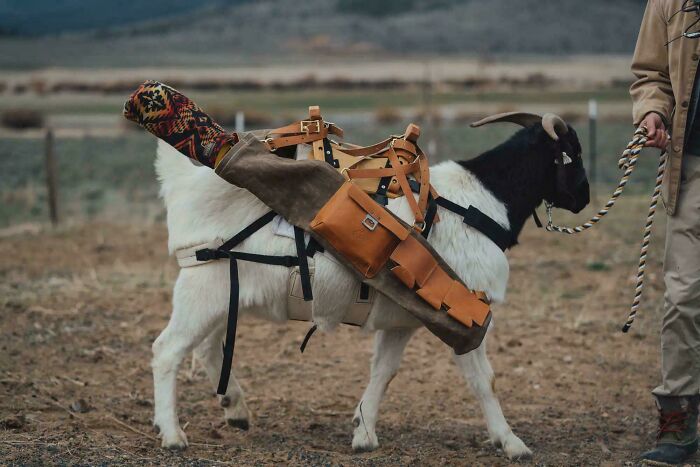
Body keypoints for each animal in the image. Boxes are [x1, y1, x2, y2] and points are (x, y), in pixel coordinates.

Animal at [150, 114, 589, 459]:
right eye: (574, 153)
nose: (584, 199)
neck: (480, 204)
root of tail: (184, 183)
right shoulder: (465, 320)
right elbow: (485, 381)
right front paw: (512, 443)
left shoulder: (402, 320)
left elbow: (384, 372)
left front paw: (363, 433)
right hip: (203, 291)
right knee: (168, 351)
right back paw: (172, 435)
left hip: (222, 294)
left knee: (206, 347)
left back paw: (236, 409)